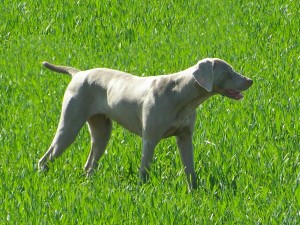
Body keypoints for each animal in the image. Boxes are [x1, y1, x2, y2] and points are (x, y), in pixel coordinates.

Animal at [38, 57, 253, 188]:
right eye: (228, 71)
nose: (250, 80)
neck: (181, 95)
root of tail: (79, 73)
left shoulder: (185, 138)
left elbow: (189, 169)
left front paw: (194, 192)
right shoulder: (149, 139)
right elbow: (145, 169)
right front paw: (143, 192)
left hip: (102, 130)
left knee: (89, 165)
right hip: (70, 125)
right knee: (46, 158)